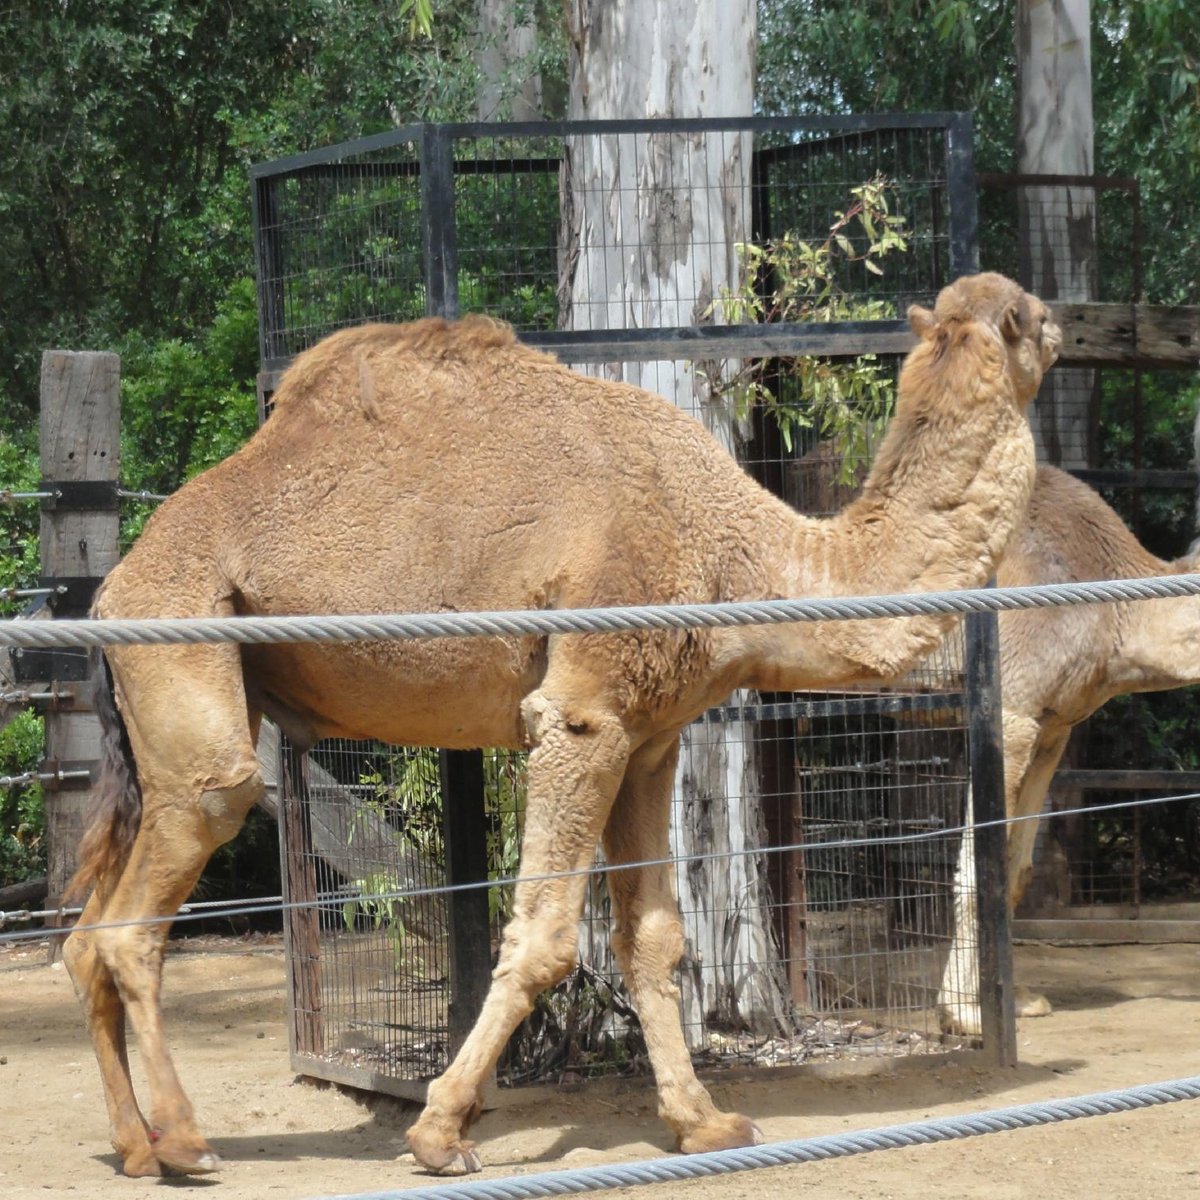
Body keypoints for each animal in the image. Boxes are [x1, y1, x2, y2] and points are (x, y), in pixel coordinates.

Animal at [65, 270, 1060, 1171]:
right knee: (143, 913)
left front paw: (704, 1123)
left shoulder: (650, 736)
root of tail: (111, 594)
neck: (741, 551)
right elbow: (543, 936)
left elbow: (652, 938)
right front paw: (439, 1133)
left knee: (85, 939)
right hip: (186, 660)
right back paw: (187, 1143)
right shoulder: (581, 713)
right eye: (1027, 314)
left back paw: (135, 1147)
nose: (1061, 323)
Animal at [936, 463, 1200, 1036]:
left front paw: (1016, 1002)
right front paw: (965, 1016)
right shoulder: (1013, 708)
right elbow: (978, 868)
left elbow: (1015, 869)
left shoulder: (1052, 727)